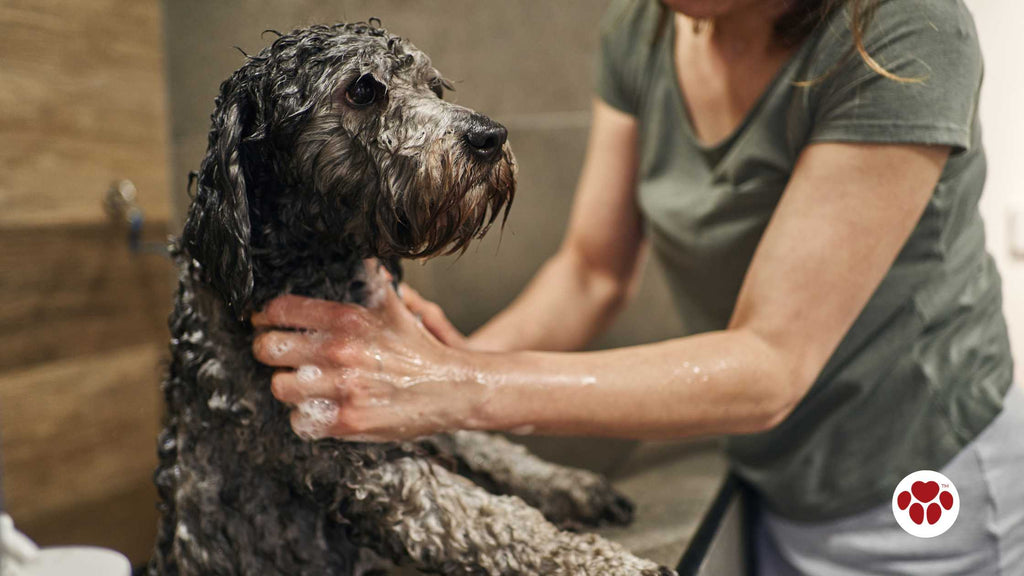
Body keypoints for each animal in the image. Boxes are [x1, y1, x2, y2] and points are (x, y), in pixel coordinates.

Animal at [146, 22, 671, 573]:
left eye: (433, 86)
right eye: (362, 89)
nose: (490, 136)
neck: (308, 268)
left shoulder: (404, 400)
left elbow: (483, 440)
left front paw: (569, 484)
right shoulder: (351, 458)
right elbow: (490, 522)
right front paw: (602, 560)